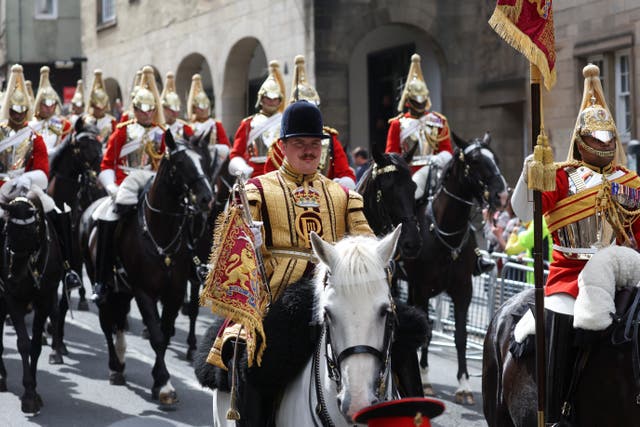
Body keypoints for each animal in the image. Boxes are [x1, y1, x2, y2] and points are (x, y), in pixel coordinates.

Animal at [0, 192, 64, 412]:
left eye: (31, 235)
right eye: (7, 231)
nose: (12, 278)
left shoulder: (44, 300)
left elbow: (35, 345)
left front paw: (34, 391)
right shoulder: (12, 299)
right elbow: (23, 344)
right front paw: (28, 394)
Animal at [80, 132, 212, 406]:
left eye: (203, 161)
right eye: (180, 164)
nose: (206, 198)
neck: (160, 232)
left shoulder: (174, 292)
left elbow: (166, 332)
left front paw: (161, 380)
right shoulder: (144, 292)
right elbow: (157, 337)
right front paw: (163, 384)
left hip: (122, 289)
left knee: (119, 320)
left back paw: (120, 360)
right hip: (103, 284)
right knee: (106, 322)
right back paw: (114, 366)